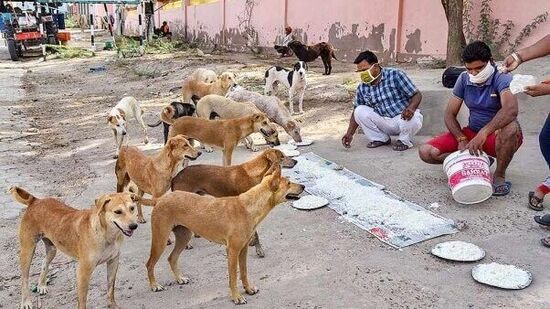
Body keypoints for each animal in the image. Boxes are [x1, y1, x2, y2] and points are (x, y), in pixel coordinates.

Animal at [9, 185, 140, 308]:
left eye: (132, 208)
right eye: (117, 212)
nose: (134, 226)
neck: (106, 234)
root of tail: (36, 200)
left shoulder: (113, 262)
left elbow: (110, 288)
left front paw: (112, 305)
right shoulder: (83, 271)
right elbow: (82, 300)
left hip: (52, 249)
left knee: (44, 263)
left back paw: (41, 285)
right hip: (27, 250)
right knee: (24, 279)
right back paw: (26, 302)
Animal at [144, 166, 306, 304]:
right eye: (289, 183)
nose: (304, 186)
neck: (248, 206)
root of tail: (159, 199)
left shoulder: (243, 249)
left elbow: (244, 272)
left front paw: (248, 289)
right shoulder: (232, 251)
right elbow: (233, 276)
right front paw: (236, 297)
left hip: (184, 236)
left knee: (172, 258)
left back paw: (179, 279)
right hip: (161, 239)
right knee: (150, 264)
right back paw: (155, 285)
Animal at [172, 148, 300, 256]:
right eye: (282, 156)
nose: (296, 161)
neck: (254, 173)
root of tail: (175, 177)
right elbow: (256, 233)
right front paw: (259, 249)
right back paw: (188, 243)